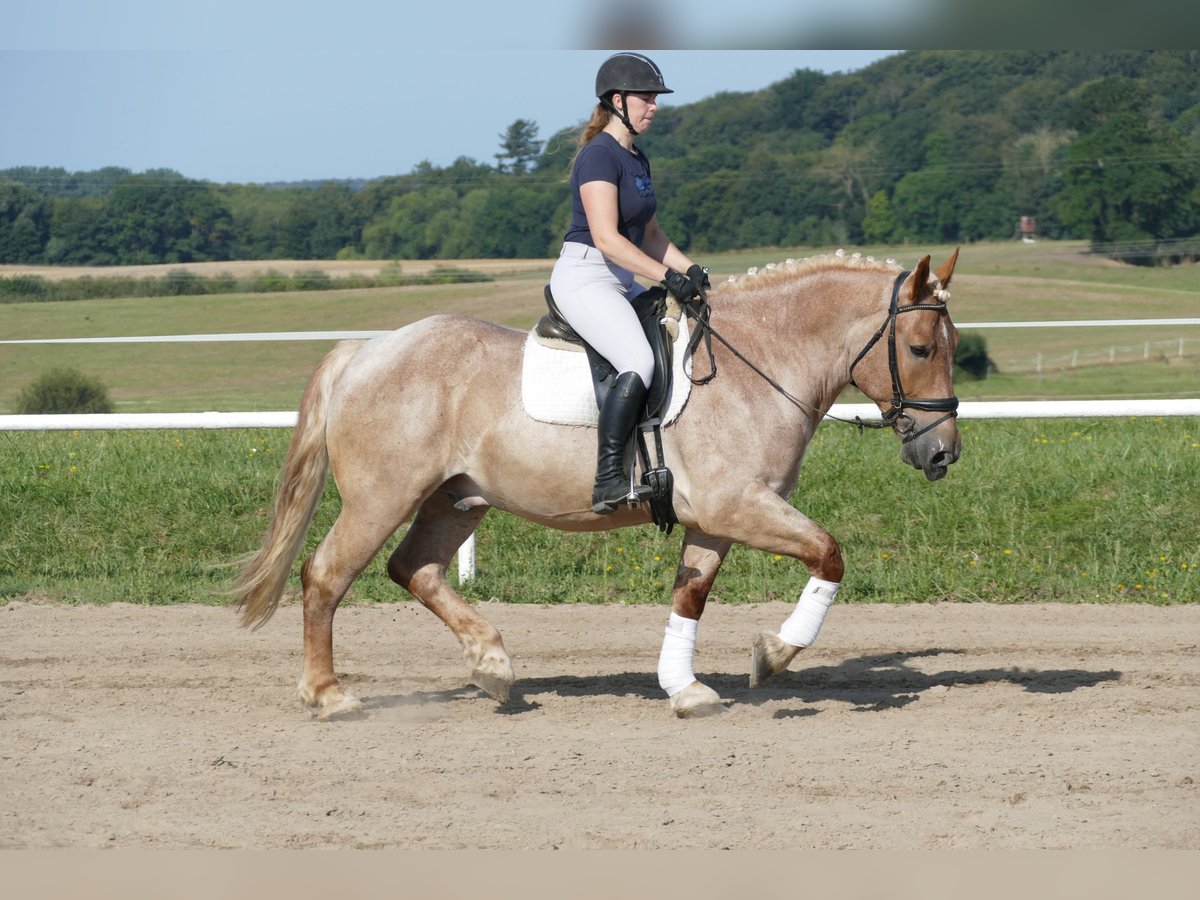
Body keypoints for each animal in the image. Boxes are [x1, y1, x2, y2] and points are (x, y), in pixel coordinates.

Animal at [236, 244, 964, 720]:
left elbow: (690, 594)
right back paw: (331, 696)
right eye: (921, 348)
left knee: (414, 569)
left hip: (457, 498)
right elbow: (829, 553)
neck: (757, 363)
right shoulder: (737, 505)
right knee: (326, 575)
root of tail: (366, 350)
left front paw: (684, 688)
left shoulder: (714, 518)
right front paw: (775, 653)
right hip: (381, 497)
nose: (942, 454)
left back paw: (493, 667)